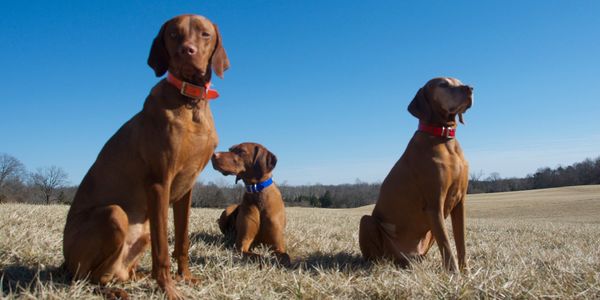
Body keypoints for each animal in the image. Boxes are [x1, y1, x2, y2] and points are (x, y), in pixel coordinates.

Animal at [62, 13, 229, 298]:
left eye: (205, 34)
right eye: (173, 34)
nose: (186, 51)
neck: (189, 102)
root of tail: (64, 262)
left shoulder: (186, 189)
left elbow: (182, 240)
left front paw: (185, 278)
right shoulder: (159, 183)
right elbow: (162, 251)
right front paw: (169, 289)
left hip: (142, 233)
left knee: (109, 274)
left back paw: (131, 278)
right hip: (114, 214)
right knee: (86, 277)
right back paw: (113, 290)